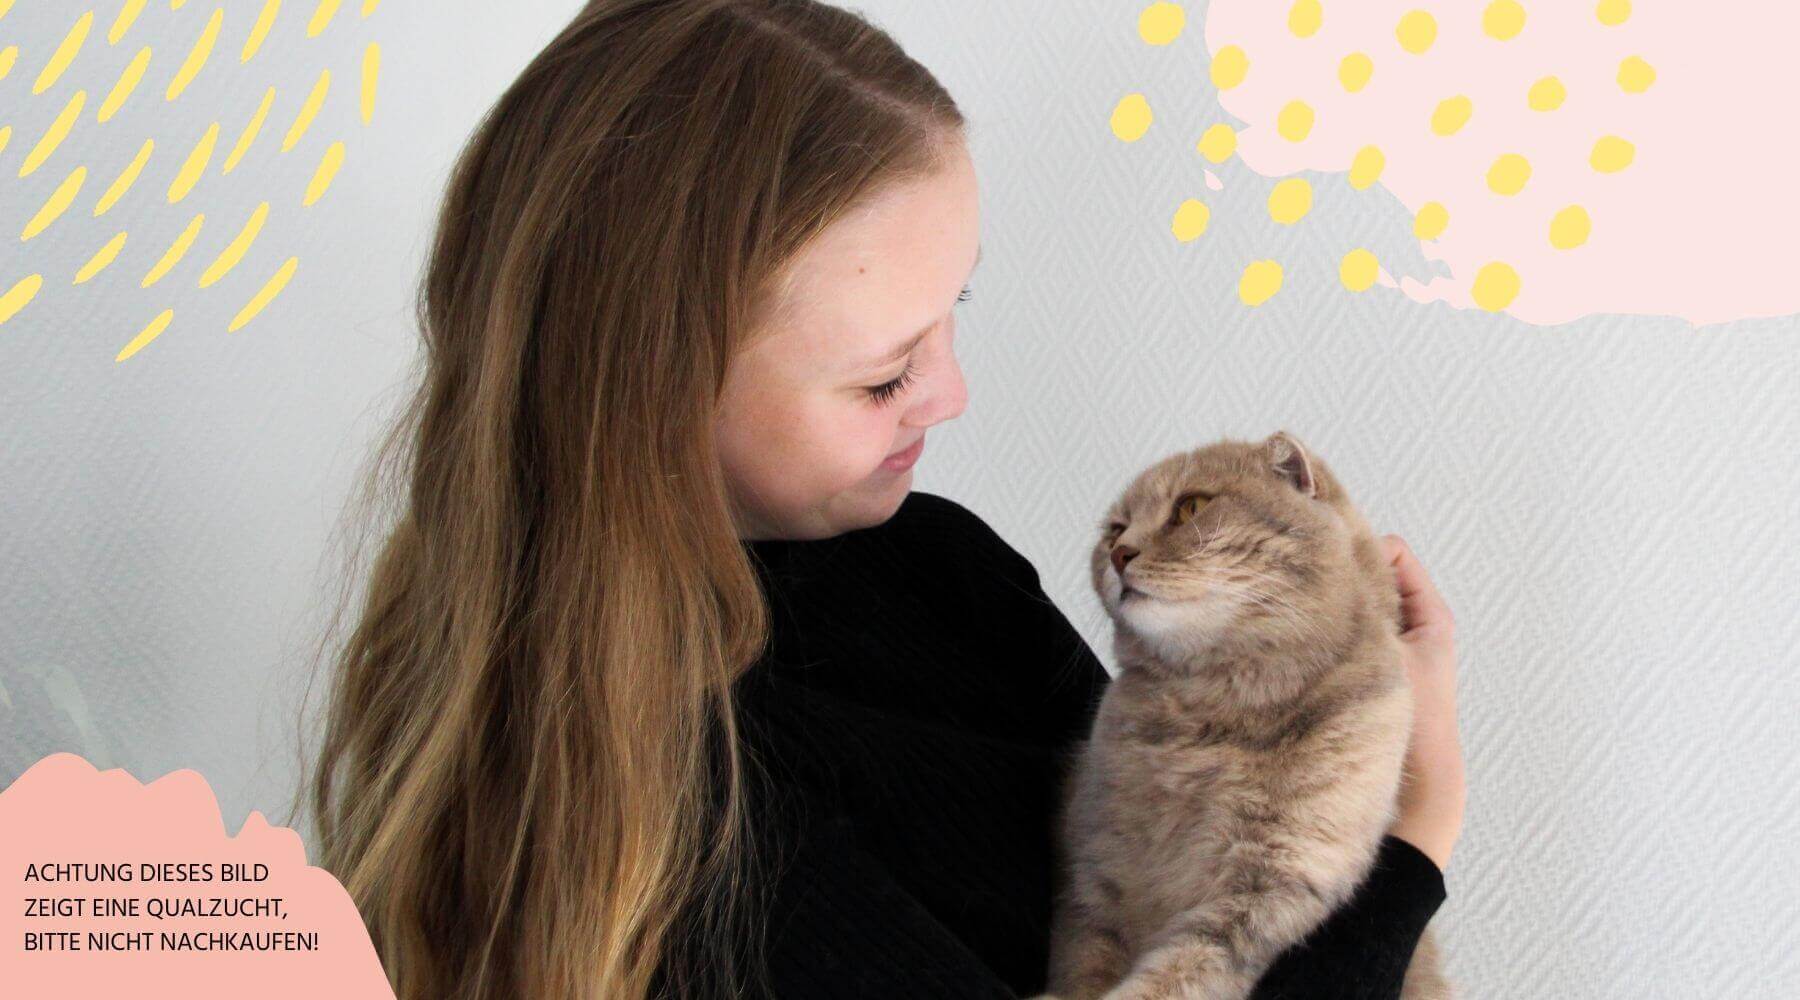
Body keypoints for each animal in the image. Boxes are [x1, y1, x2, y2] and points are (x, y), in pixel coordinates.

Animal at [1036, 429, 1454, 1000]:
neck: (1210, 722)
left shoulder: (1269, 885)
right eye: (1115, 530)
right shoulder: (1095, 859)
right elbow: (1086, 957)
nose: (1120, 554)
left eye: (1191, 507)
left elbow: (1184, 971)